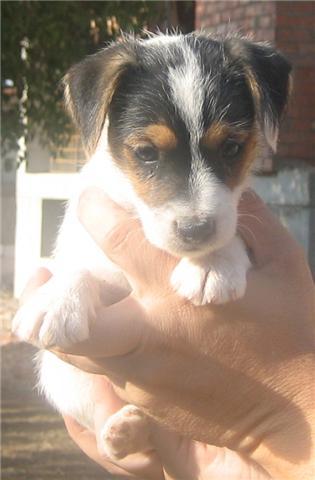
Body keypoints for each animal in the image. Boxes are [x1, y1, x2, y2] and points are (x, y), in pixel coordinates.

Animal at [12, 31, 294, 460]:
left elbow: (234, 234)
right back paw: (123, 432)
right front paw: (58, 299)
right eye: (146, 152)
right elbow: (79, 266)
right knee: (99, 414)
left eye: (231, 147)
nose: (197, 230)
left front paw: (212, 262)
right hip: (62, 378)